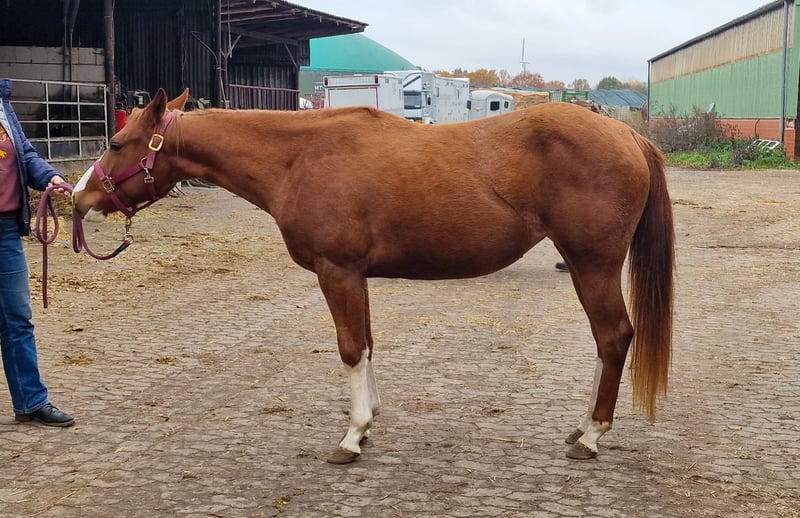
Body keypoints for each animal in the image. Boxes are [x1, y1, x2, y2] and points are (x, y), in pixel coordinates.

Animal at [72, 89, 674, 464]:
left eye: (116, 144)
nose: (78, 198)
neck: (301, 157)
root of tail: (626, 136)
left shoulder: (336, 271)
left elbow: (349, 347)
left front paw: (352, 434)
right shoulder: (354, 275)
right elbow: (365, 343)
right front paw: (370, 422)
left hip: (592, 263)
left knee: (614, 337)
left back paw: (592, 436)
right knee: (605, 341)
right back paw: (582, 424)